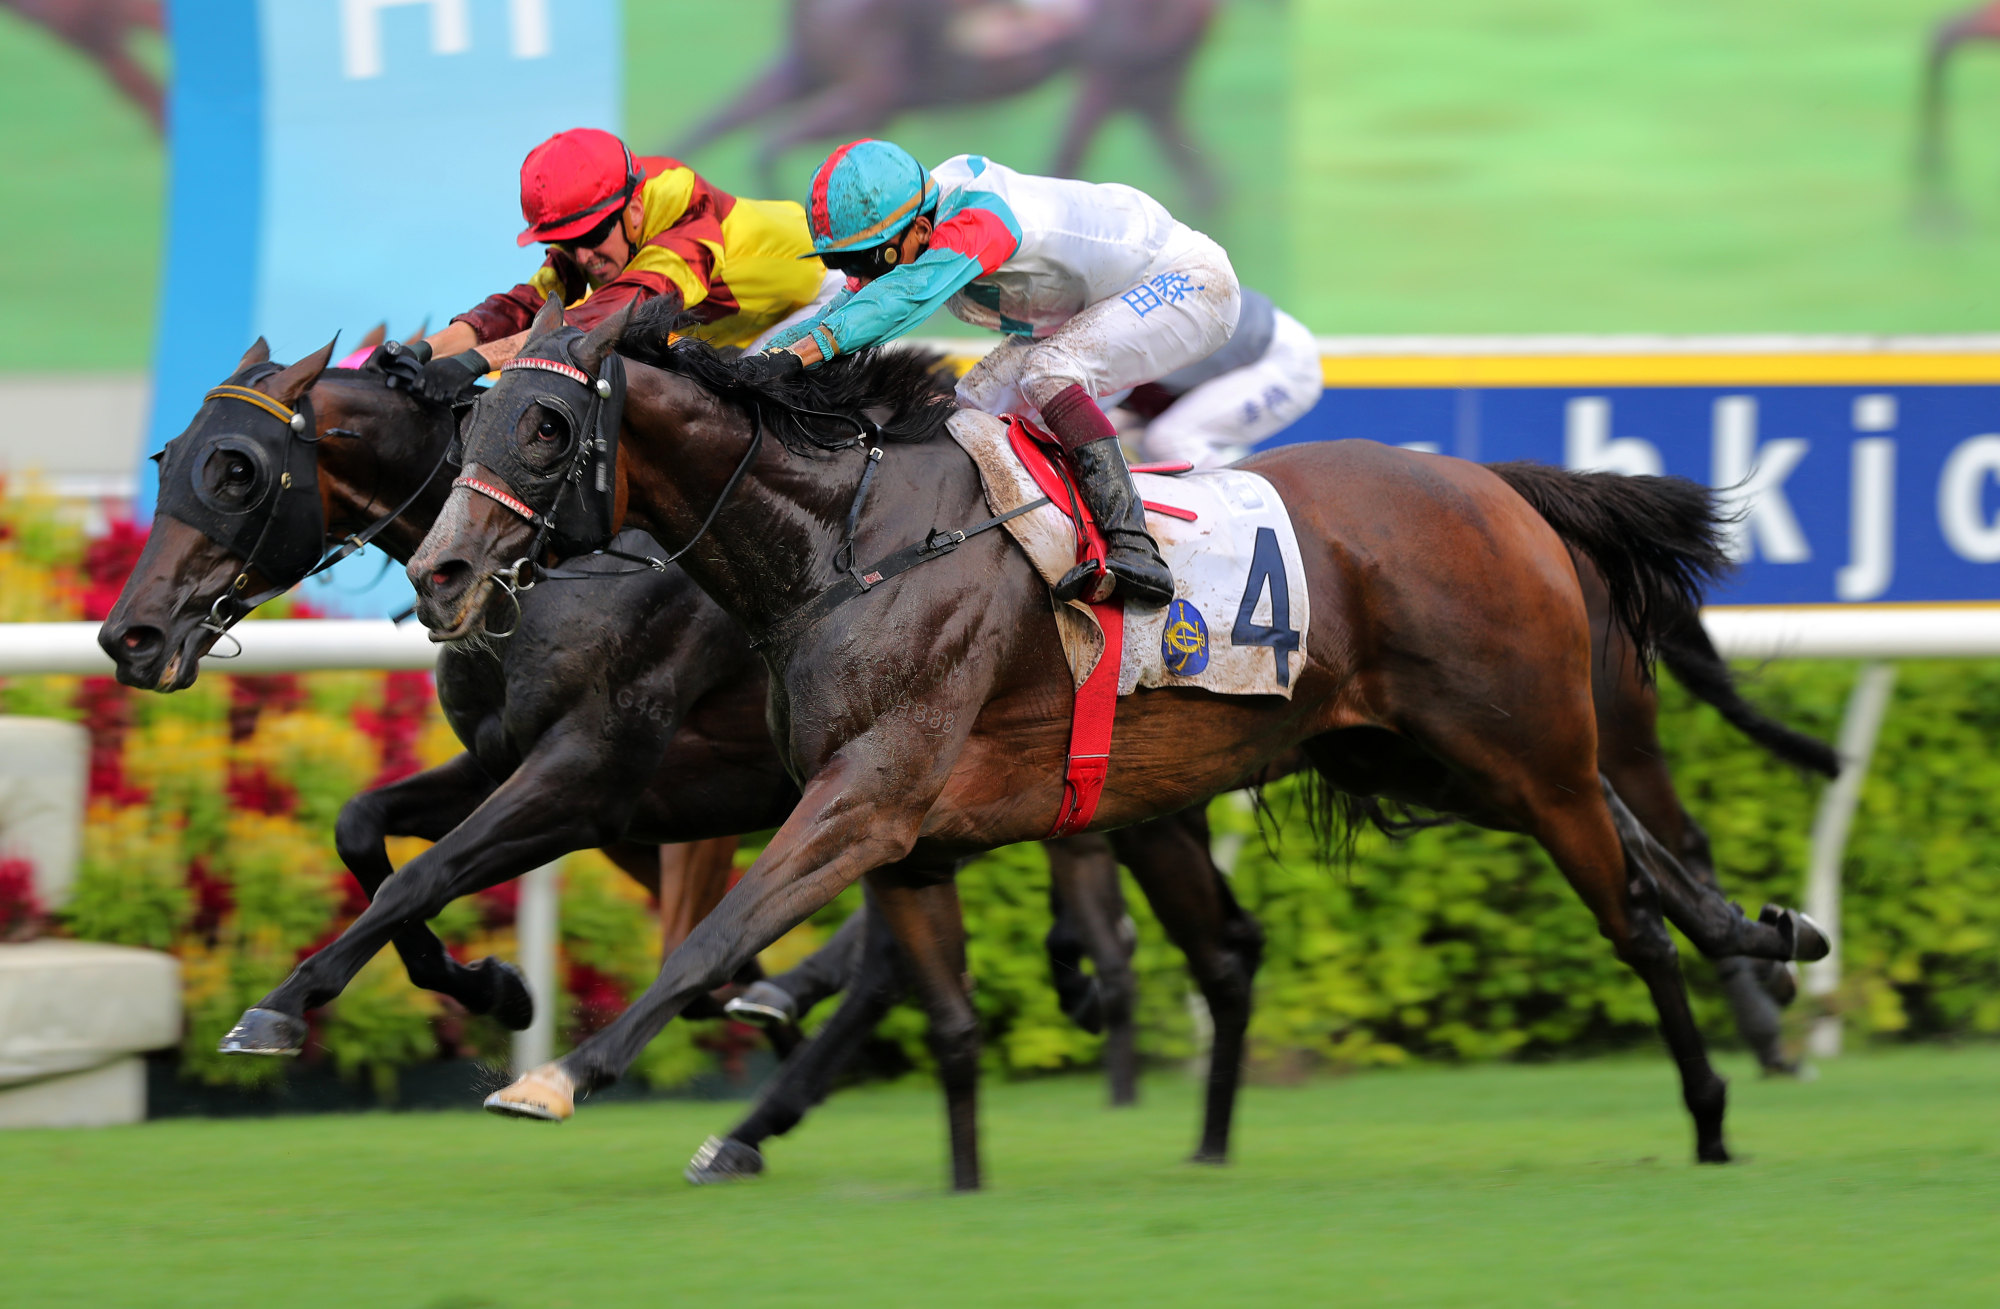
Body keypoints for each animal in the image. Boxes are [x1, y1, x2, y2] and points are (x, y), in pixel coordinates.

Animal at [386, 300, 1832, 1192]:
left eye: (546, 427)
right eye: (472, 423)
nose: (441, 570)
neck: (848, 541)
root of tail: (1496, 485)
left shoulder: (860, 800)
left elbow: (712, 941)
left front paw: (559, 1075)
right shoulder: (902, 834)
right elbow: (948, 1018)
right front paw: (959, 1180)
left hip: (1514, 748)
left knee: (1632, 920)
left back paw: (1713, 1107)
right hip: (1421, 756)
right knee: (1635, 859)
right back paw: (1769, 930)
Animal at [672, 0, 1216, 209]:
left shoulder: (875, 99)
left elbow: (767, 148)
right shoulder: (802, 71)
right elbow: (704, 131)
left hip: (1110, 74)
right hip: (1146, 85)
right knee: (1207, 181)